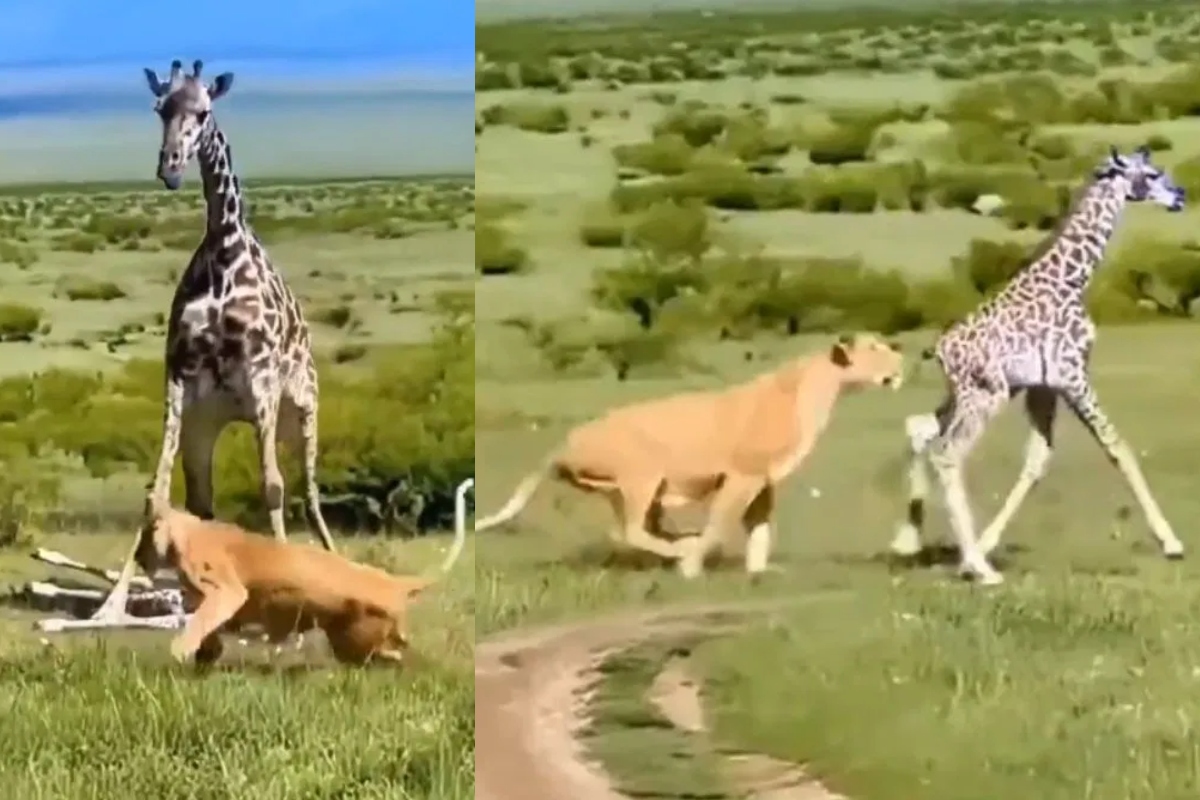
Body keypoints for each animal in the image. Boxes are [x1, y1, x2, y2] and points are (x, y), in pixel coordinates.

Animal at [89, 59, 336, 624]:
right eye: (160, 108)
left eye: (203, 112)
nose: (171, 168)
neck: (224, 253)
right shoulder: (180, 379)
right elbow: (157, 492)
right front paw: (111, 604)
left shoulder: (262, 379)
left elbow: (272, 485)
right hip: (208, 424)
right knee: (204, 500)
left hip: (303, 409)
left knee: (310, 490)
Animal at [476, 332, 905, 579]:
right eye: (874, 348)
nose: (901, 362)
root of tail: (566, 442)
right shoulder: (741, 477)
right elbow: (719, 526)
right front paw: (693, 565)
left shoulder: (762, 482)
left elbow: (761, 530)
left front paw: (760, 571)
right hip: (641, 474)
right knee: (628, 531)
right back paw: (681, 549)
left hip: (626, 489)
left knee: (639, 529)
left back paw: (678, 543)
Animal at [890, 145, 1186, 586]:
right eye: (1150, 174)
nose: (1180, 196)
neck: (1072, 279)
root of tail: (941, 350)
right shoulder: (1072, 374)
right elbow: (1118, 447)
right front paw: (1171, 542)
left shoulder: (1041, 386)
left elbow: (1037, 462)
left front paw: (985, 542)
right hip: (988, 394)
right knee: (947, 452)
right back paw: (980, 569)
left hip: (969, 393)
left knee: (920, 426)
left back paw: (912, 542)